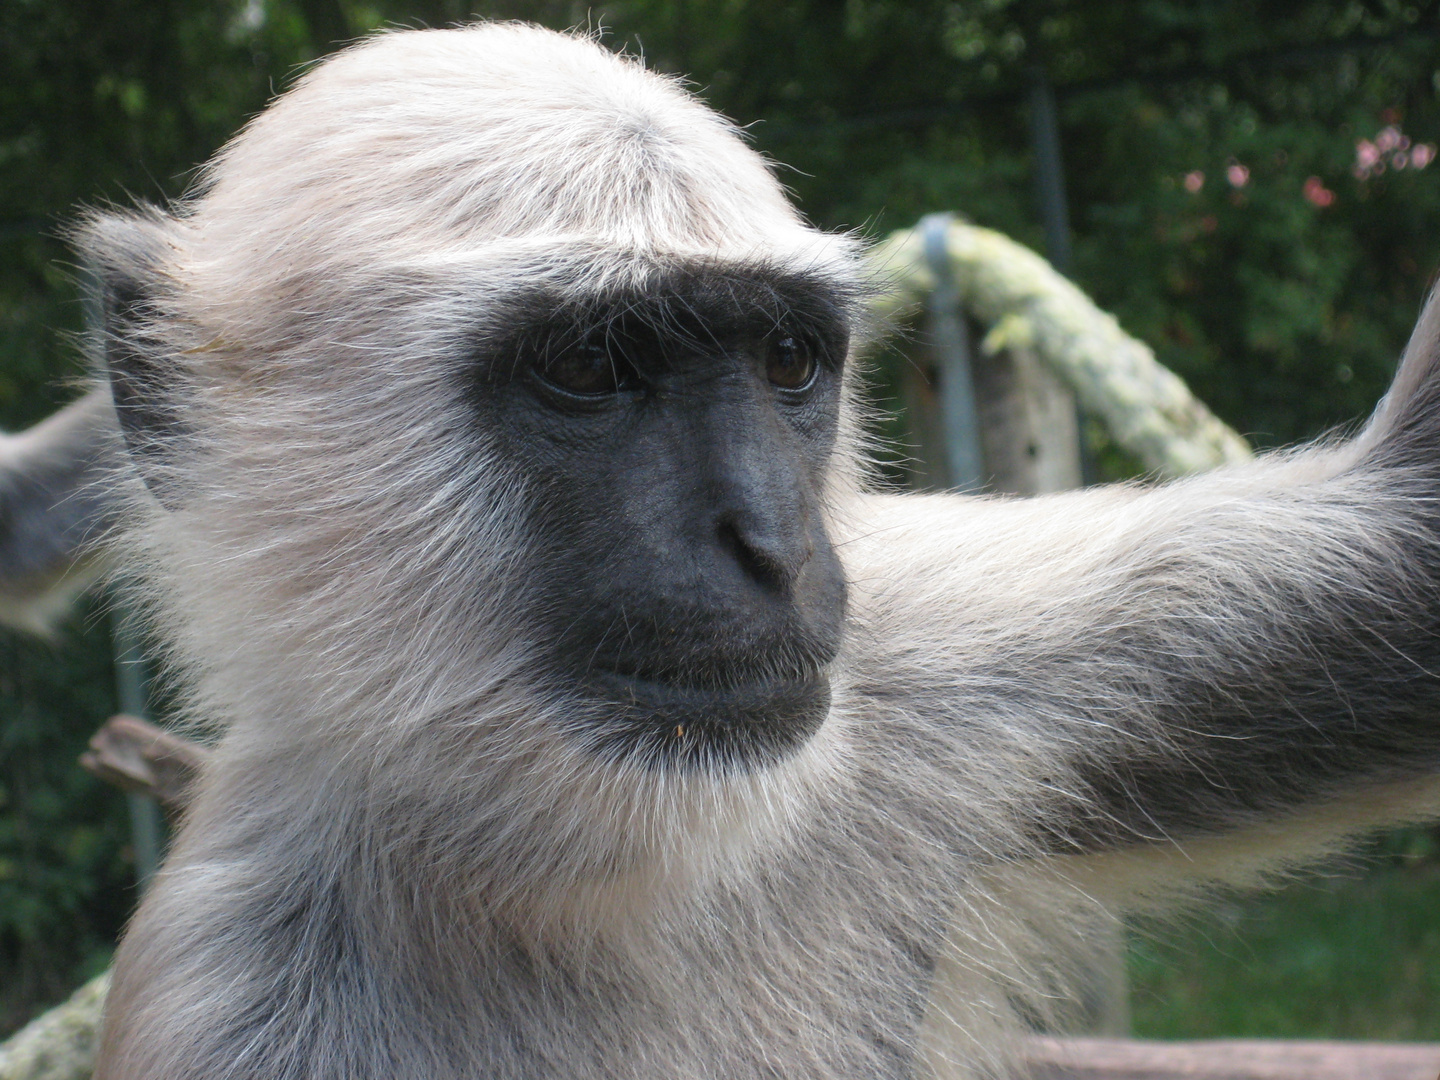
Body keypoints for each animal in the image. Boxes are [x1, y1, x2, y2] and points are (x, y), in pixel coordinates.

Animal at [84, 23, 1440, 1080]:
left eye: (787, 361)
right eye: (590, 368)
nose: (776, 545)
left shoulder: (927, 663)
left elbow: (1411, 540)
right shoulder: (223, 988)